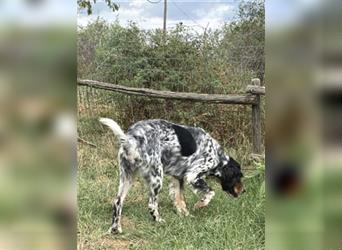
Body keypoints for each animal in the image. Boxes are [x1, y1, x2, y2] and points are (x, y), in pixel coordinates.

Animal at [99, 118, 246, 233]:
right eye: (239, 176)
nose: (244, 191)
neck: (217, 155)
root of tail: (131, 139)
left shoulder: (178, 177)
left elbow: (180, 200)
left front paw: (186, 215)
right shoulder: (192, 175)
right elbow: (210, 193)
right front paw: (200, 204)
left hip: (127, 177)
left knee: (117, 202)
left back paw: (115, 228)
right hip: (157, 177)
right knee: (152, 204)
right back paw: (159, 220)